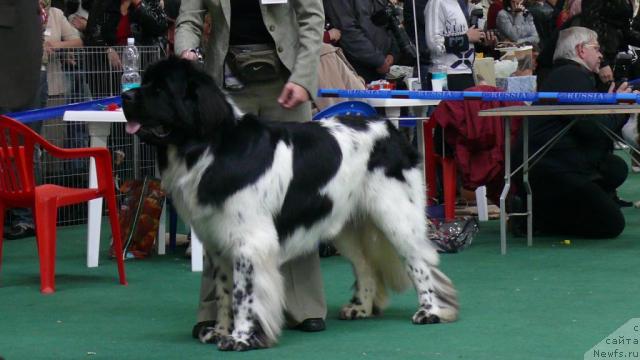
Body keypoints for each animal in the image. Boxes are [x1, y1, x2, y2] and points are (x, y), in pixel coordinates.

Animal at [122, 57, 458, 350]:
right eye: (146, 82)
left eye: (161, 89)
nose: (125, 96)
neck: (212, 147)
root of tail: (390, 129)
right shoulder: (218, 241)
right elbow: (224, 291)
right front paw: (219, 331)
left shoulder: (250, 241)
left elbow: (244, 293)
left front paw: (241, 338)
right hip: (345, 223)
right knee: (365, 264)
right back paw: (360, 308)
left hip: (395, 214)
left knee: (420, 261)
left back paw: (430, 311)